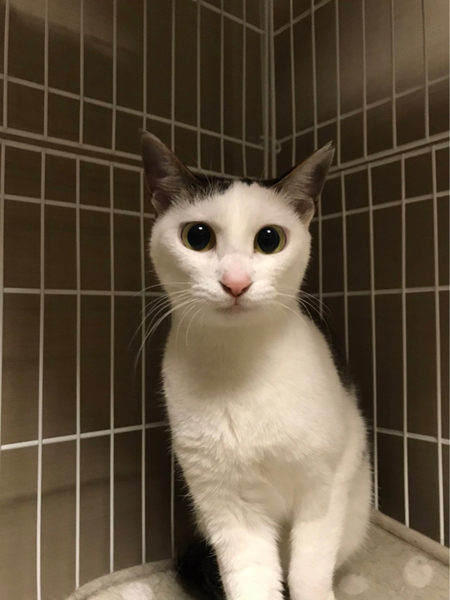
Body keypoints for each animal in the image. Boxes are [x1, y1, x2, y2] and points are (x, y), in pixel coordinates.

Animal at [141, 132, 372, 600]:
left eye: (269, 239)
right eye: (197, 236)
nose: (236, 283)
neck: (241, 362)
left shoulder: (326, 484)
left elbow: (309, 574)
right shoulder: (226, 506)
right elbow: (251, 579)